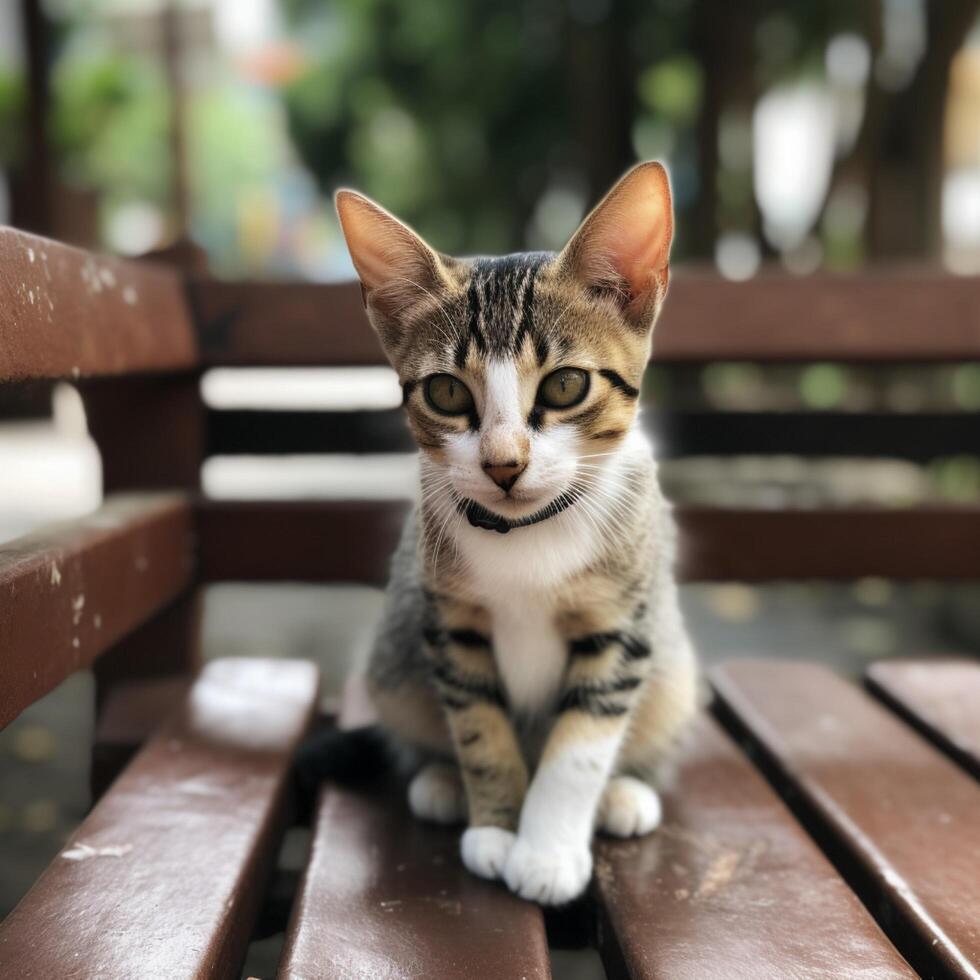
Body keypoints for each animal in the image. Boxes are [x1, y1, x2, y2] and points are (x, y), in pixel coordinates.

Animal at [334, 159, 700, 904]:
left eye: (565, 386)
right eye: (446, 392)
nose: (504, 464)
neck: (527, 531)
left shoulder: (623, 624)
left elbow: (580, 747)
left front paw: (548, 851)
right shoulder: (448, 621)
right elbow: (479, 724)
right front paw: (496, 830)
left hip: (675, 671)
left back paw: (624, 794)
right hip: (394, 660)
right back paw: (440, 780)